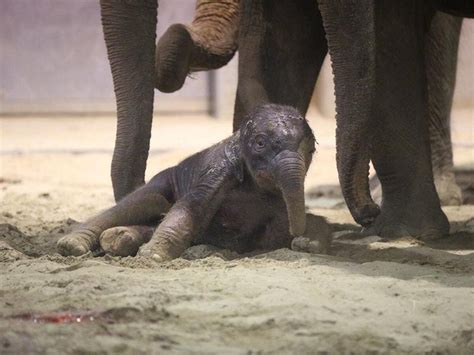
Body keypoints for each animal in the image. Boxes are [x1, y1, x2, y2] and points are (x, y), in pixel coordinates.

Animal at [58, 104, 330, 260]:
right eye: (260, 143)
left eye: (311, 150)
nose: (299, 236)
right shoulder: (217, 172)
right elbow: (191, 207)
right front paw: (152, 258)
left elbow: (276, 232)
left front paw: (307, 243)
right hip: (164, 179)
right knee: (145, 201)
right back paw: (74, 245)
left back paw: (118, 238)